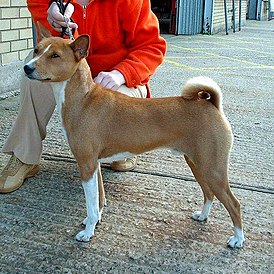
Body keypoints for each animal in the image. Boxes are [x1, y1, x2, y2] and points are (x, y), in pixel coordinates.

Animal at [23, 25, 244, 248]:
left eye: (55, 55)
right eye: (36, 50)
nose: (27, 68)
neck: (83, 99)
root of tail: (211, 104)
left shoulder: (86, 164)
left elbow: (91, 204)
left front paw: (87, 232)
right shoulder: (94, 163)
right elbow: (99, 199)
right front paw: (95, 221)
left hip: (212, 168)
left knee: (233, 203)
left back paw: (237, 239)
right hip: (197, 164)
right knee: (209, 193)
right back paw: (203, 216)